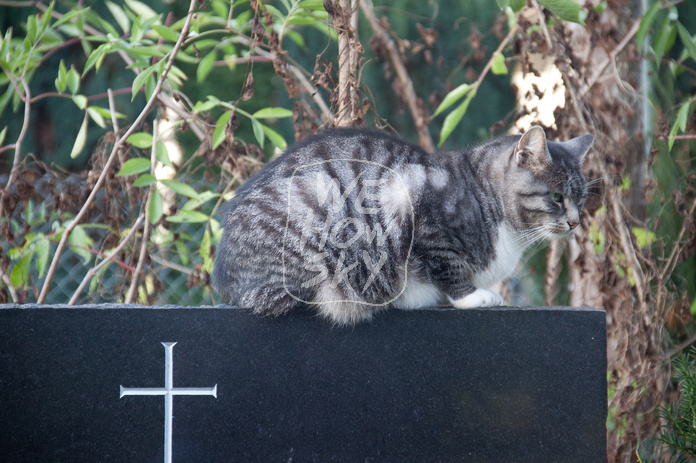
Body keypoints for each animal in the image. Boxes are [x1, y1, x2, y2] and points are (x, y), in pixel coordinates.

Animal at [212, 125, 592, 324]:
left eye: (581, 199)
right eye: (557, 198)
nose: (575, 222)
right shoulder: (414, 208)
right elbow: (448, 266)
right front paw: (473, 297)